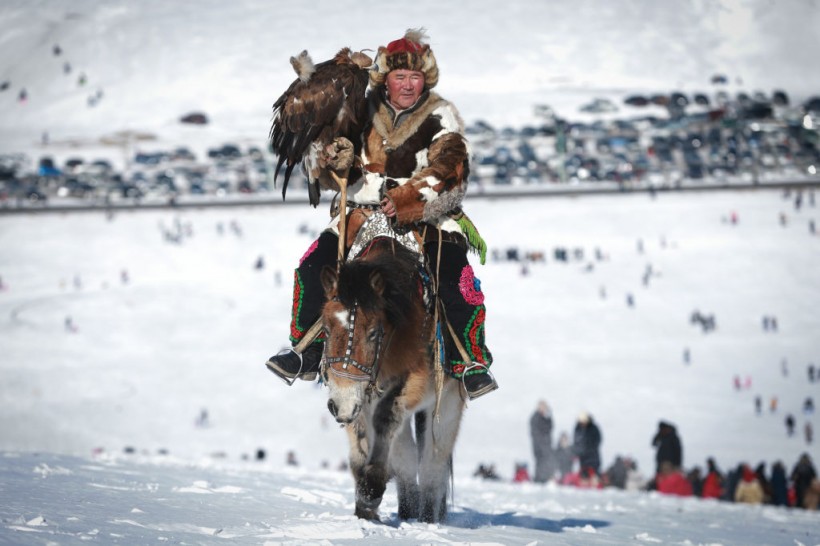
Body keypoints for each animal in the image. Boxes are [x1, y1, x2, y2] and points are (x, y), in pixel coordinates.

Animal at [318, 236, 464, 520]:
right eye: (327, 329)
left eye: (374, 333)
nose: (341, 405)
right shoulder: (352, 396)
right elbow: (360, 433)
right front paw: (364, 504)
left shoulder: (418, 381)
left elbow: (385, 417)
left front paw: (372, 487)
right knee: (406, 459)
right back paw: (406, 513)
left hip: (447, 404)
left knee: (433, 466)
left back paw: (428, 519)